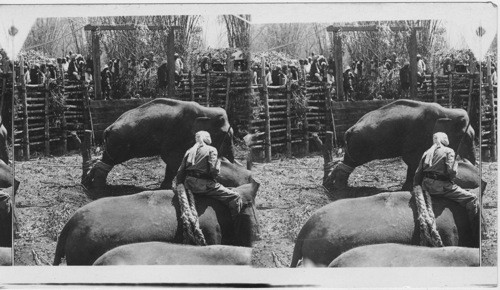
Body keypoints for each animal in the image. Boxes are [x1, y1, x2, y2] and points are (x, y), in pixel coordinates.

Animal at [84, 98, 236, 190]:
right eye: (227, 135)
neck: (205, 109)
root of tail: (108, 128)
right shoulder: (176, 134)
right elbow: (172, 160)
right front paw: (167, 188)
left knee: (103, 160)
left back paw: (89, 182)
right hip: (118, 143)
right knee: (107, 162)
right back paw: (99, 188)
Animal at [326, 98, 474, 191]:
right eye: (466, 137)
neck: (447, 111)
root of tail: (349, 130)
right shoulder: (416, 135)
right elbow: (412, 160)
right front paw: (408, 188)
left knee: (346, 163)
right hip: (359, 146)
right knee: (349, 163)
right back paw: (340, 188)